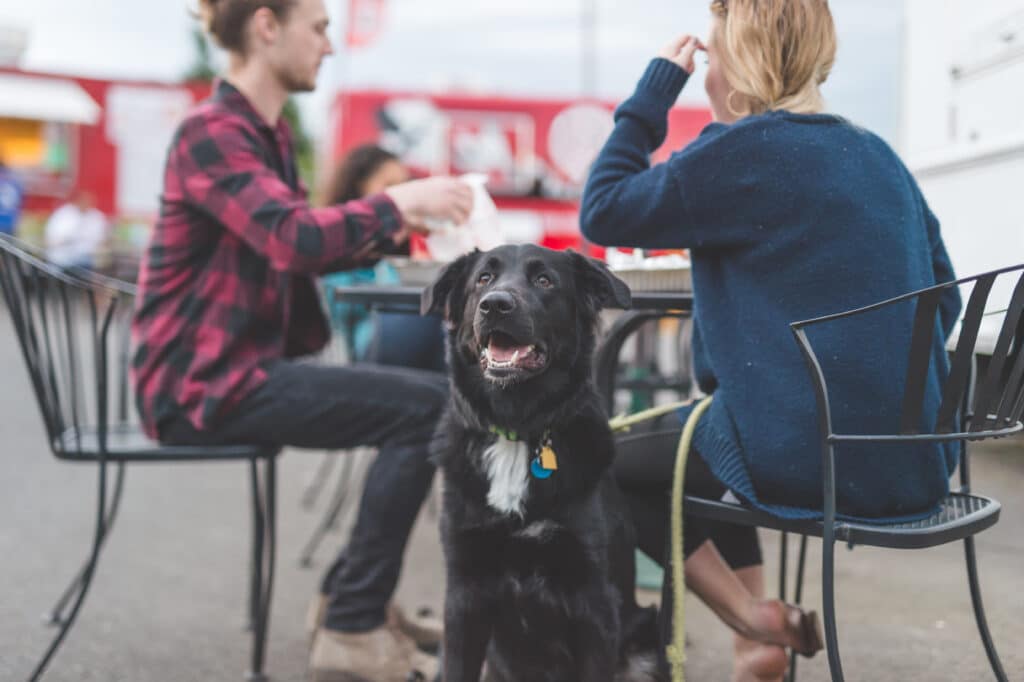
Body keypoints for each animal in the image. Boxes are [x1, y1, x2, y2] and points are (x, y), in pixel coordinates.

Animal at [421, 244, 663, 679]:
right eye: (483, 279)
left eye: (545, 280)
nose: (495, 305)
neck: (517, 430)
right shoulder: (463, 596)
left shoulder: (595, 604)